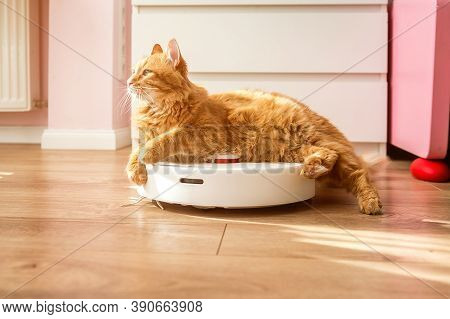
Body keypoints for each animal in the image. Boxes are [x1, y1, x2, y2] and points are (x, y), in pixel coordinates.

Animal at [126, 38, 384, 216]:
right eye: (133, 72)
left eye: (146, 72)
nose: (128, 82)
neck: (161, 110)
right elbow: (133, 153)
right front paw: (136, 172)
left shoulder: (205, 134)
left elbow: (166, 139)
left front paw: (148, 154)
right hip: (294, 149)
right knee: (330, 157)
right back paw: (314, 168)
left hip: (313, 140)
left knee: (358, 174)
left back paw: (370, 203)